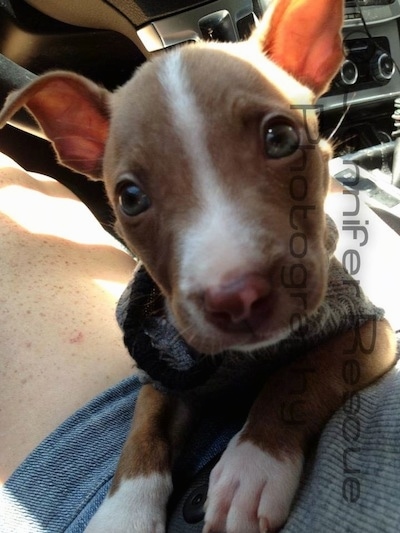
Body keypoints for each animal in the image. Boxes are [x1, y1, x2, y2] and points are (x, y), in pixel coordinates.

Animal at [0, 0, 396, 528]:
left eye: (280, 138)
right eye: (130, 197)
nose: (237, 297)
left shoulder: (369, 333)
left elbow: (298, 376)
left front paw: (252, 466)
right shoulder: (163, 366)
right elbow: (143, 428)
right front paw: (122, 513)